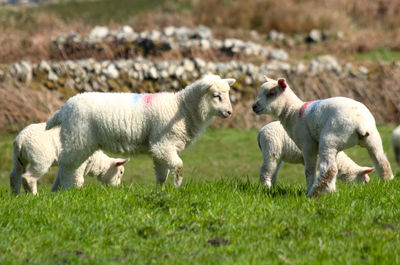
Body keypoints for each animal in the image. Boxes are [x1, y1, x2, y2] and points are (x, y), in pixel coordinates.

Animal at [45, 73, 236, 191]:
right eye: (216, 95)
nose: (229, 113)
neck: (182, 108)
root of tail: (64, 109)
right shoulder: (164, 143)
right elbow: (178, 165)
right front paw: (178, 185)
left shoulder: (160, 147)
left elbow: (161, 175)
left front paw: (161, 192)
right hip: (78, 138)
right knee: (68, 165)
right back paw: (68, 190)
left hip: (77, 141)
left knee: (67, 164)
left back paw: (57, 190)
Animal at [253, 76, 394, 196]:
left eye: (271, 93)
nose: (254, 107)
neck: (293, 112)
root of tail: (361, 123)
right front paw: (331, 190)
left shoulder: (307, 145)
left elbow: (310, 171)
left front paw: (312, 189)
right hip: (372, 139)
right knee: (383, 163)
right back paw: (387, 184)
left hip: (330, 137)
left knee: (329, 170)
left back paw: (313, 194)